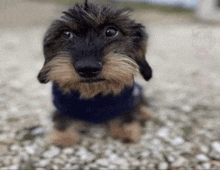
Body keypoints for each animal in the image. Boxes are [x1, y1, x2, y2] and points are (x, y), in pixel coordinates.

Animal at [37, 0, 152, 147]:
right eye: (66, 33)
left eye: (111, 31)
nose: (88, 68)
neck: (94, 93)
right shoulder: (62, 103)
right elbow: (63, 117)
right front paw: (63, 136)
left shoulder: (127, 100)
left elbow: (126, 113)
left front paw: (124, 130)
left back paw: (145, 113)